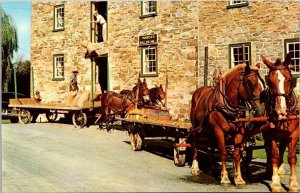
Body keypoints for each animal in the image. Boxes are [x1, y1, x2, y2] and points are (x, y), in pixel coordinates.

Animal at [258, 53, 298, 192]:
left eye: (289, 80)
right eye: (270, 81)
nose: (280, 111)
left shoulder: (294, 134)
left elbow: (291, 157)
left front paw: (293, 184)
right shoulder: (271, 134)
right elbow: (274, 155)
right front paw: (275, 183)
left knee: (282, 148)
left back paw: (280, 170)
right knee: (268, 149)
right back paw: (269, 170)